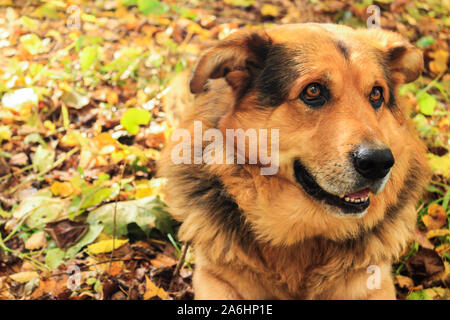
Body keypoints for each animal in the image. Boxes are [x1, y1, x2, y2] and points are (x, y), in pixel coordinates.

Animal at [158, 23, 428, 300]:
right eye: (313, 90)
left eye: (376, 94)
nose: (378, 162)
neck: (304, 236)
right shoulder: (215, 278)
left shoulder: (375, 284)